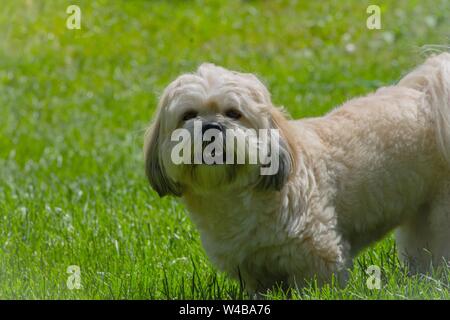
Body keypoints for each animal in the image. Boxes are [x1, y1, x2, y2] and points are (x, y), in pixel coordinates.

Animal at [144, 52, 450, 292]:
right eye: (188, 115)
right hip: (421, 213)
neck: (233, 199)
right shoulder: (252, 269)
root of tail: (427, 96)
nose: (210, 128)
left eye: (233, 113)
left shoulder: (317, 255)